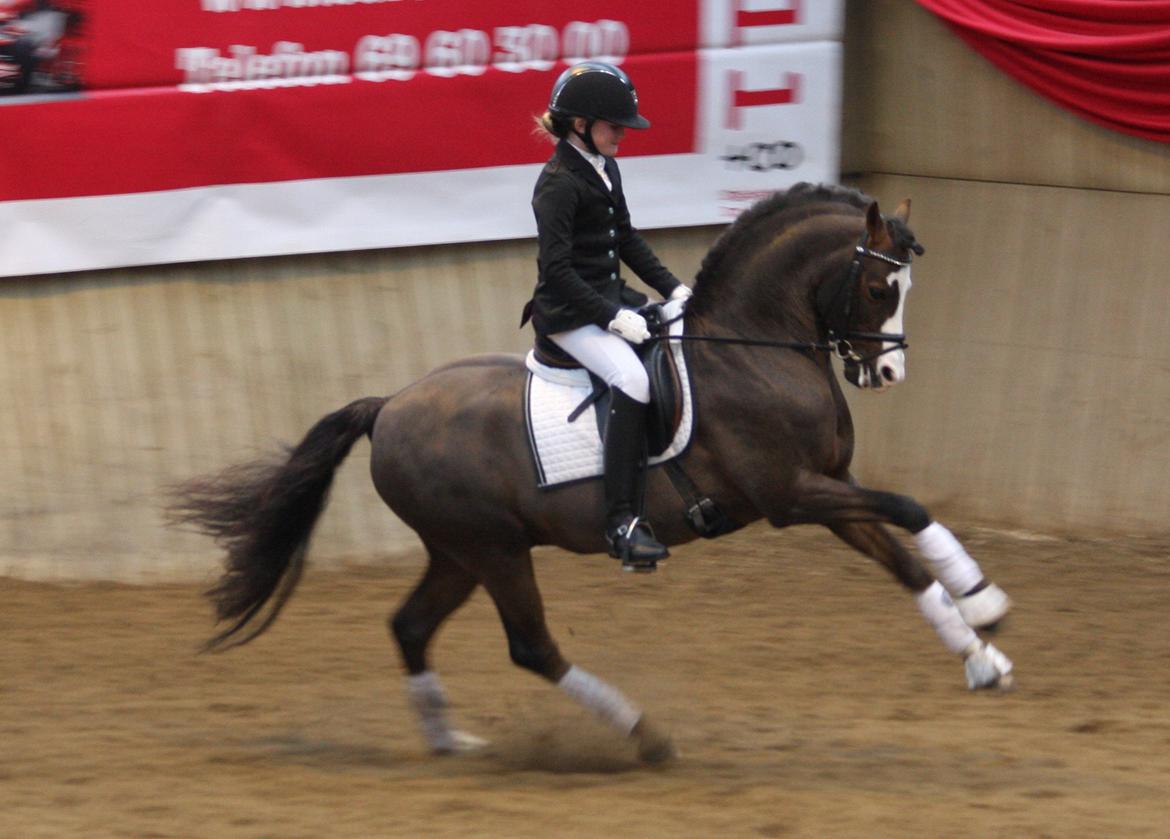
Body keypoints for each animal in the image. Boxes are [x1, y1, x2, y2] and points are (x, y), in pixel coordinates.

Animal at [170, 181, 1015, 758]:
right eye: (878, 286)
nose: (886, 375)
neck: (753, 348)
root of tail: (390, 406)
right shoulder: (791, 493)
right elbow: (909, 509)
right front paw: (984, 597)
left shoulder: (828, 491)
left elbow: (903, 559)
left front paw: (981, 655)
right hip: (493, 550)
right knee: (531, 647)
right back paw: (642, 733)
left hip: (457, 551)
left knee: (409, 625)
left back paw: (450, 741)